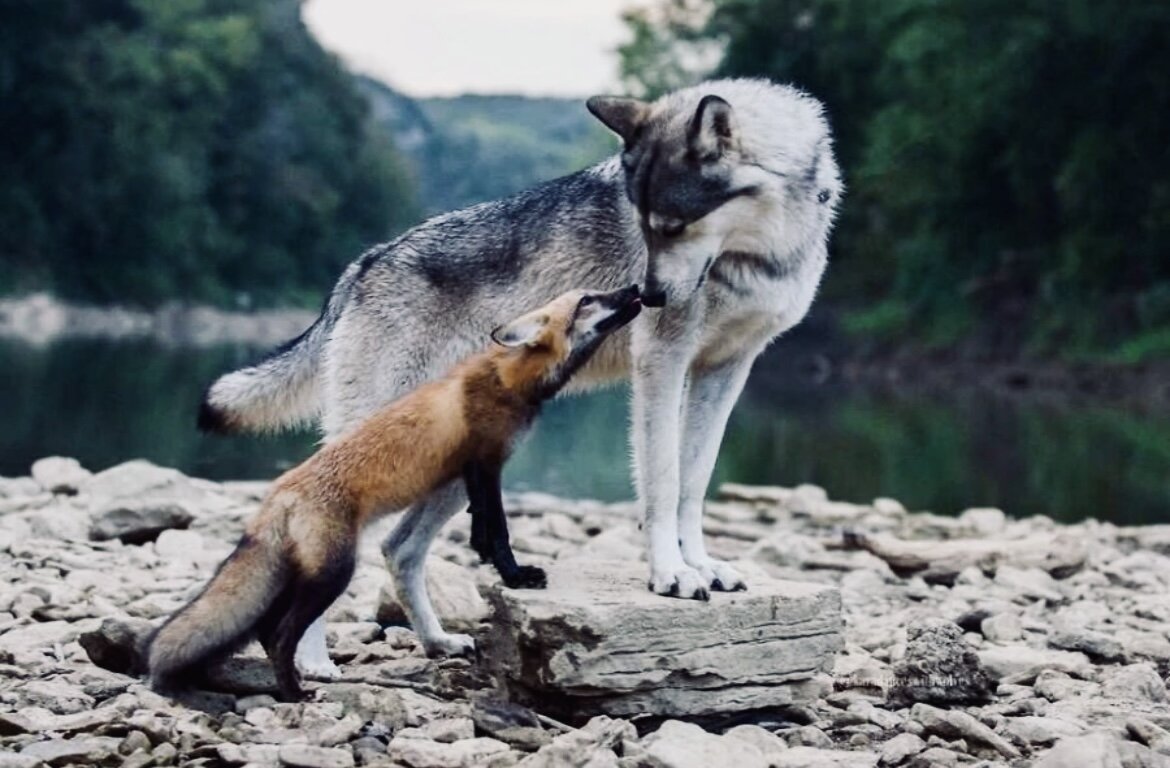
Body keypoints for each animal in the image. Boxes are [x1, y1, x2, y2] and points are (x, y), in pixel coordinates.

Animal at [150, 284, 645, 697]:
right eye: (588, 300)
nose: (636, 287)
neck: (508, 380)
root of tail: (278, 491)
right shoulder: (486, 464)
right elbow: (499, 531)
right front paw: (515, 575)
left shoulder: (472, 472)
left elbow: (482, 532)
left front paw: (497, 567)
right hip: (334, 573)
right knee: (278, 636)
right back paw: (295, 693)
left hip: (301, 576)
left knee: (266, 631)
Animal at [203, 77, 842, 674]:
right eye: (647, 226)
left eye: (674, 225)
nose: (650, 296)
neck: (763, 250)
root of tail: (362, 264)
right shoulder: (663, 363)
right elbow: (661, 483)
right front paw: (672, 574)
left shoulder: (726, 370)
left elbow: (694, 481)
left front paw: (702, 565)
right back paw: (313, 663)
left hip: (458, 466)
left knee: (399, 549)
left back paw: (437, 642)